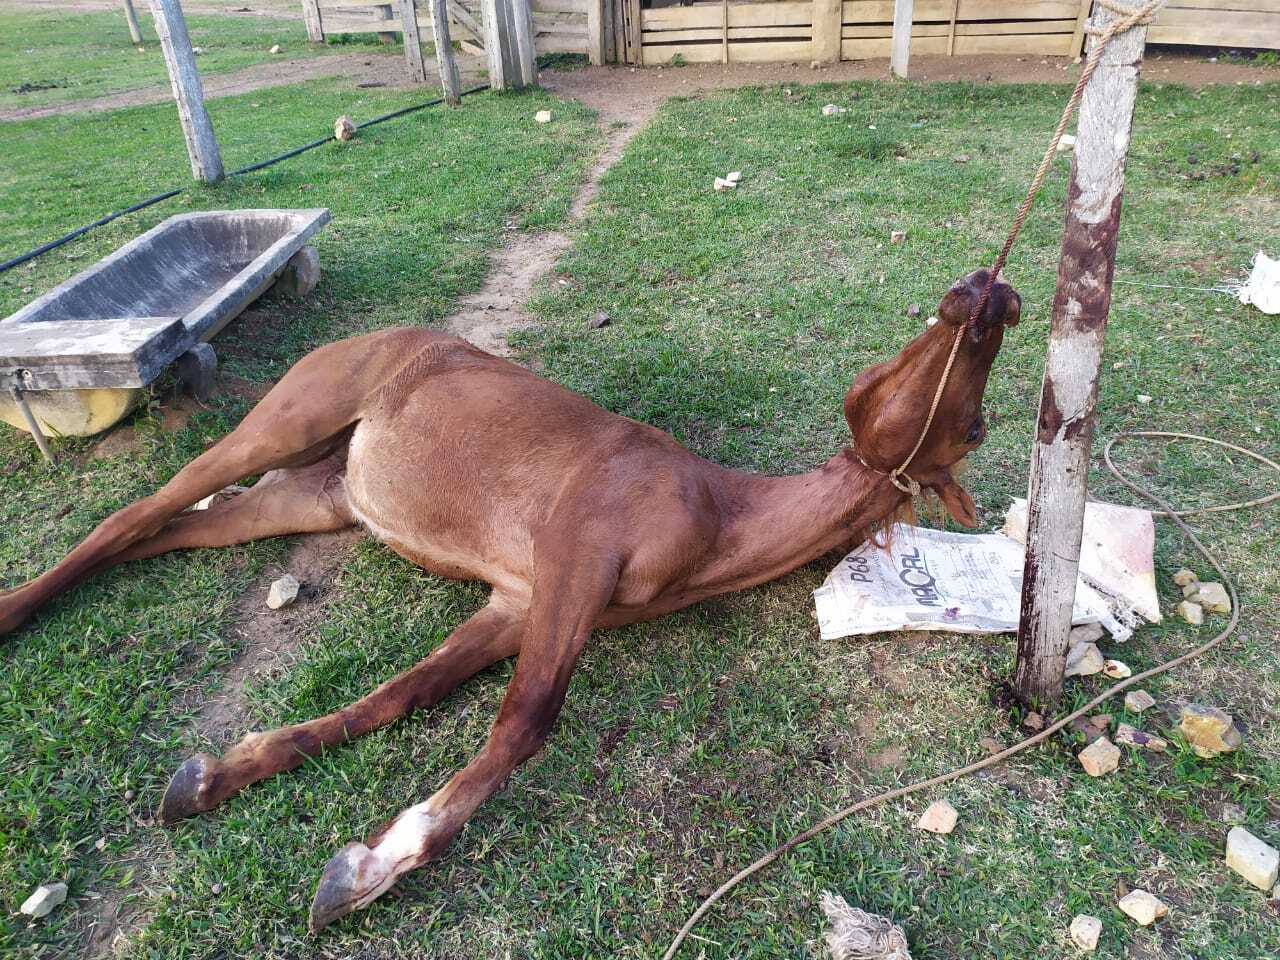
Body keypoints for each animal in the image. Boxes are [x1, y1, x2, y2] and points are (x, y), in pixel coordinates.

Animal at [0, 268, 1018, 931]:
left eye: (972, 424)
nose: (987, 290)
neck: (714, 515)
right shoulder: (572, 556)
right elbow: (527, 720)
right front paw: (374, 866)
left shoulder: (518, 603)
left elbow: (400, 697)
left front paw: (220, 776)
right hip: (283, 423)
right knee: (133, 514)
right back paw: (15, 610)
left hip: (312, 496)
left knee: (162, 530)